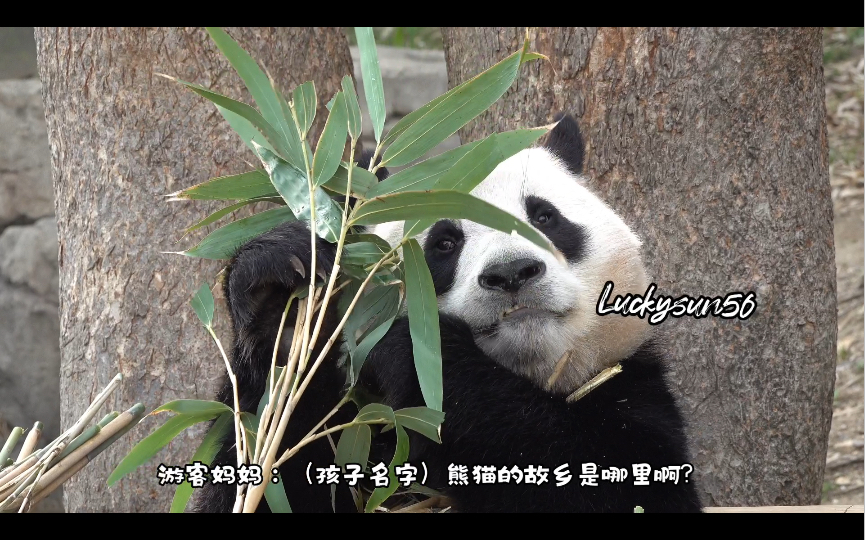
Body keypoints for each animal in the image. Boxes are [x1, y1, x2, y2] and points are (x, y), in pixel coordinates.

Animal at [196, 116, 704, 512]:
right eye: (444, 242)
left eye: (544, 217)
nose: (512, 273)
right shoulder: (358, 422)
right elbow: (272, 464)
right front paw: (283, 291)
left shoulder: (632, 388)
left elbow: (610, 486)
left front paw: (421, 347)